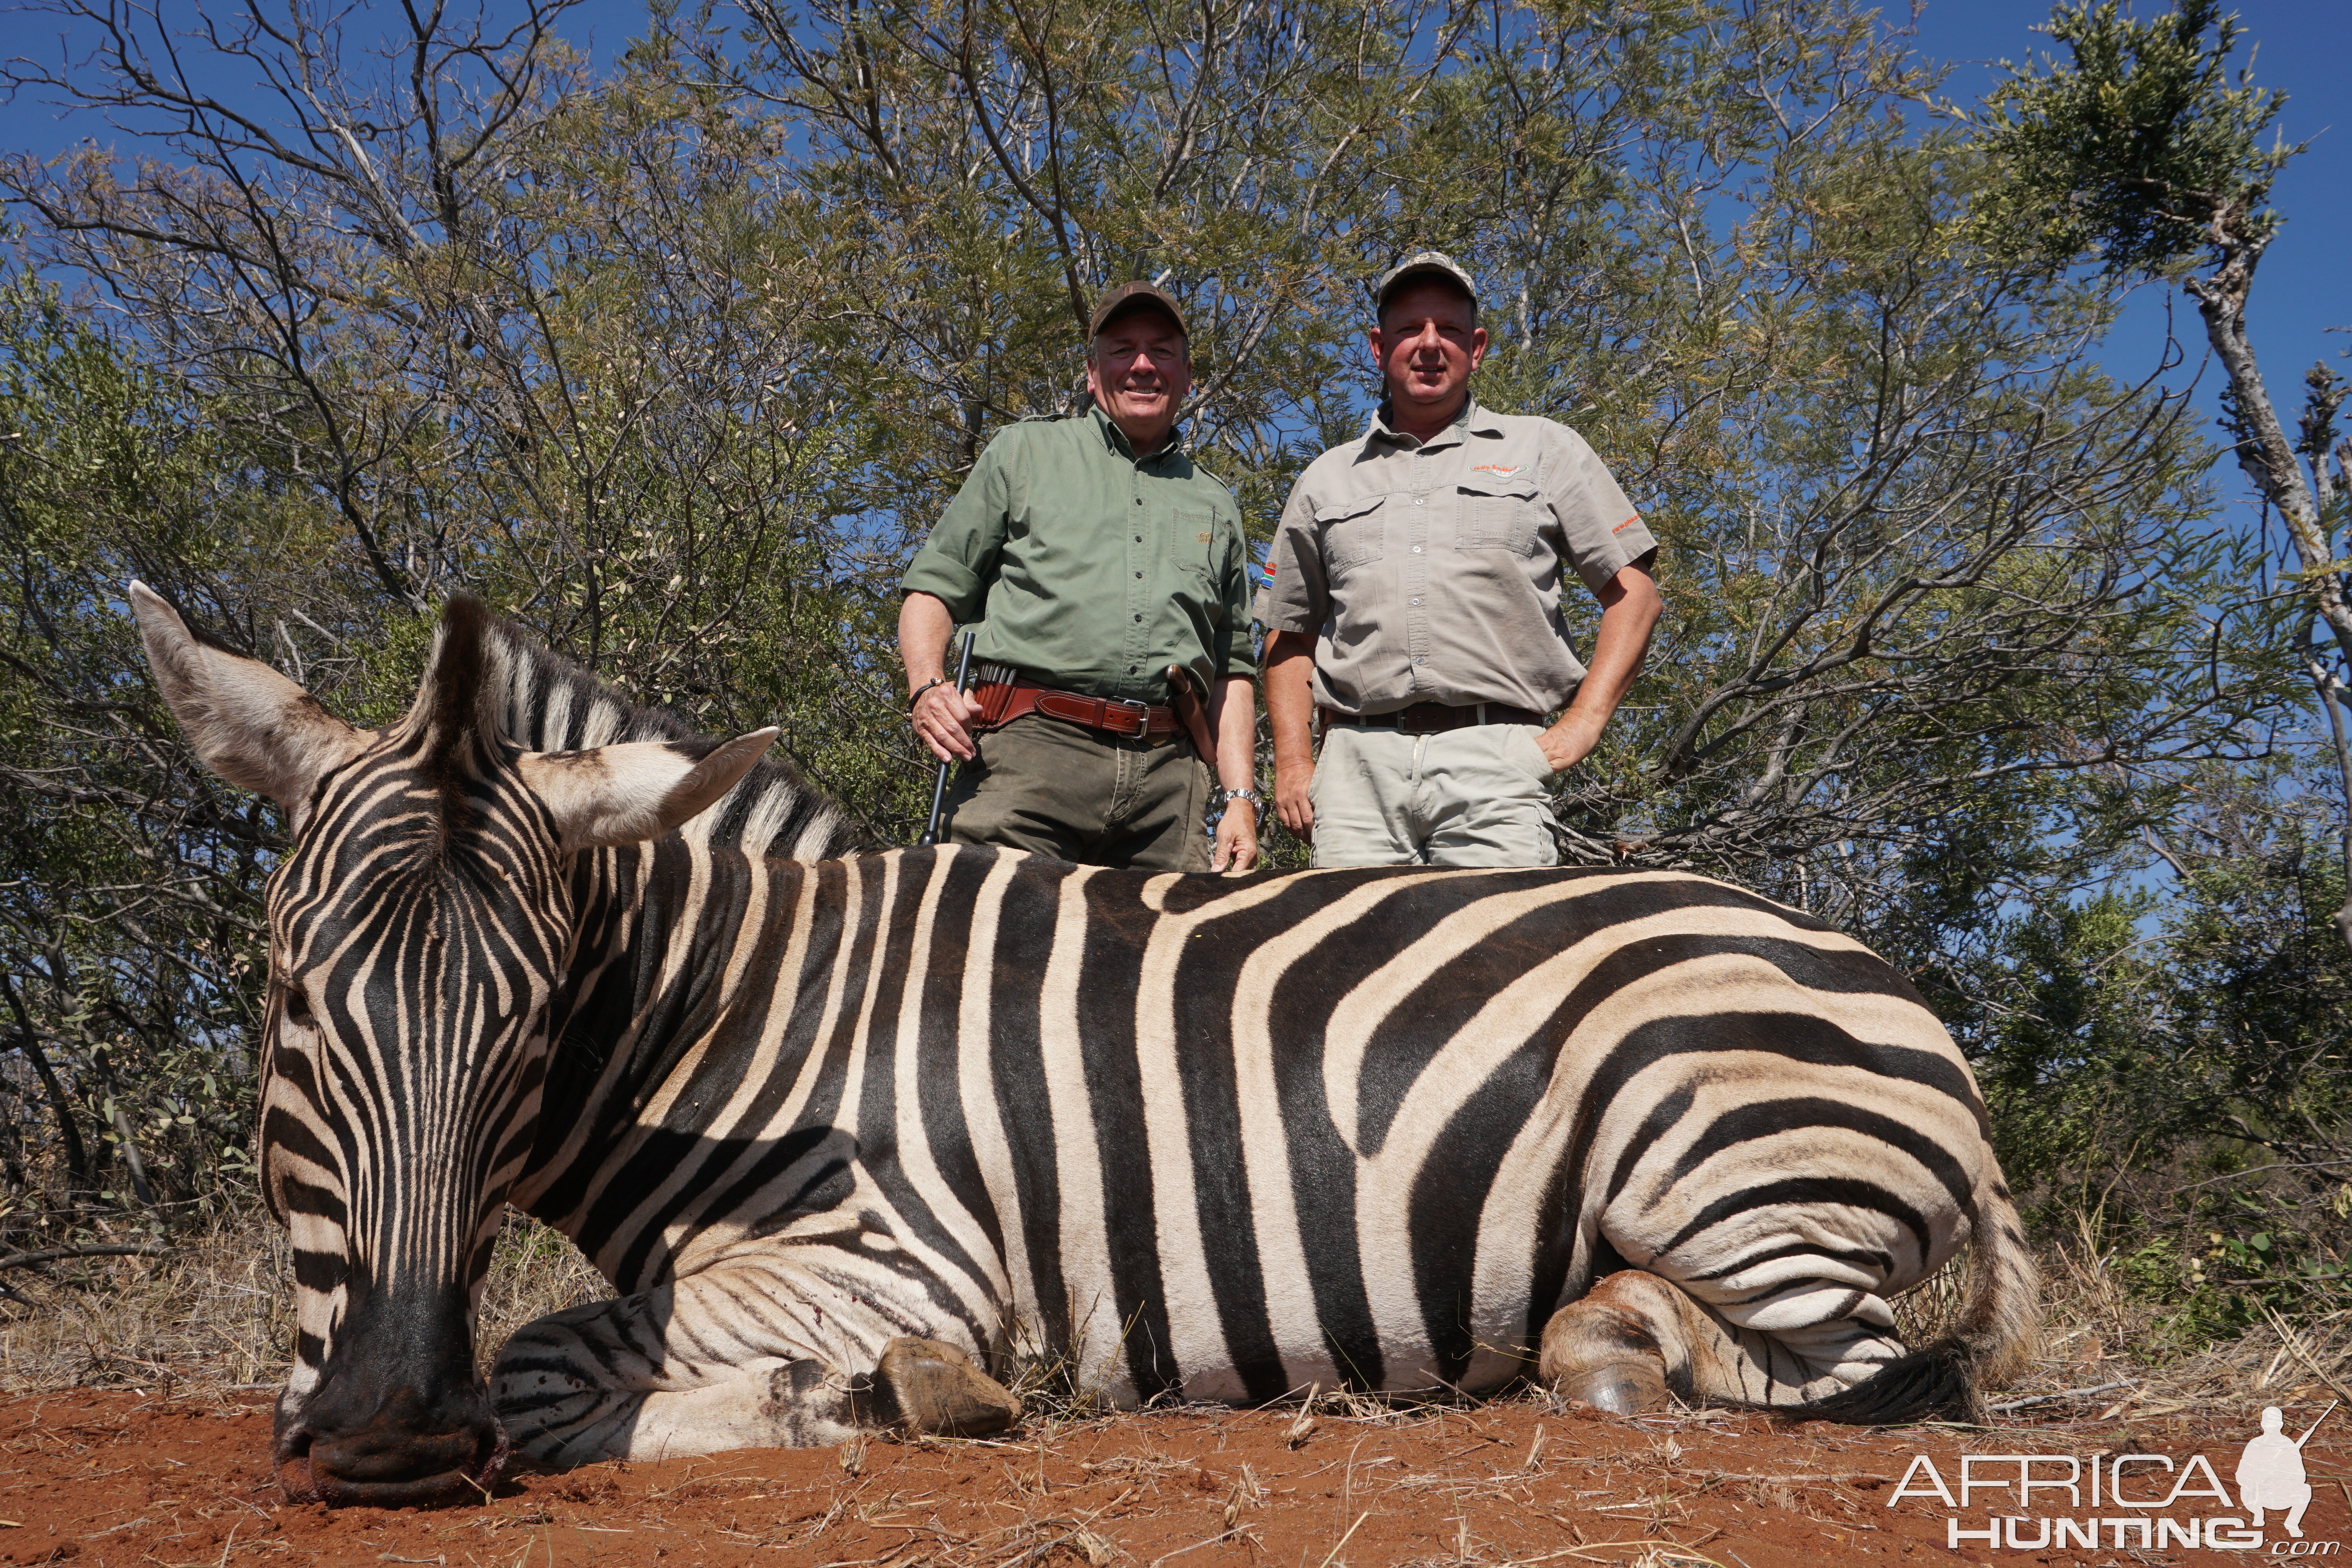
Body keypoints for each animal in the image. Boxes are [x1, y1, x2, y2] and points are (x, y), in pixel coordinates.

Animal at [133, 585, 2042, 1504]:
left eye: (532, 1023)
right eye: (289, 996)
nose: (386, 1434)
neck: (736, 1014)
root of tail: (1884, 981)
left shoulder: (901, 1252)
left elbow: (542, 1362)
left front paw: (860, 1399)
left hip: (1703, 1146)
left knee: (1865, 1378)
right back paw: (1595, 1345)